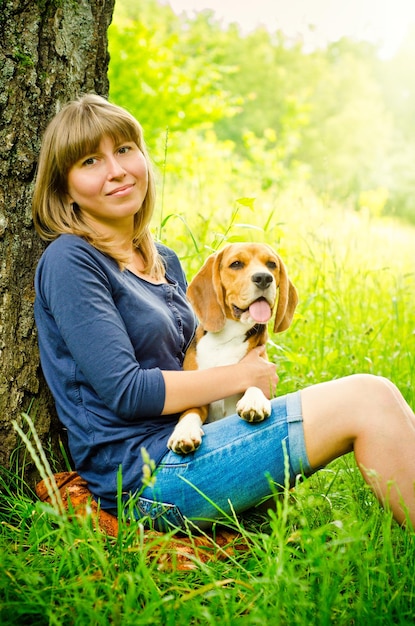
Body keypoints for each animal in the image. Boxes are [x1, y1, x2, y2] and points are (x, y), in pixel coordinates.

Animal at [167, 241, 298, 450]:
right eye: (236, 264)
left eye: (271, 264)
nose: (264, 278)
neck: (227, 340)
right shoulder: (196, 394)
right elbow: (190, 412)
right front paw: (184, 432)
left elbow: (255, 382)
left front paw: (253, 400)